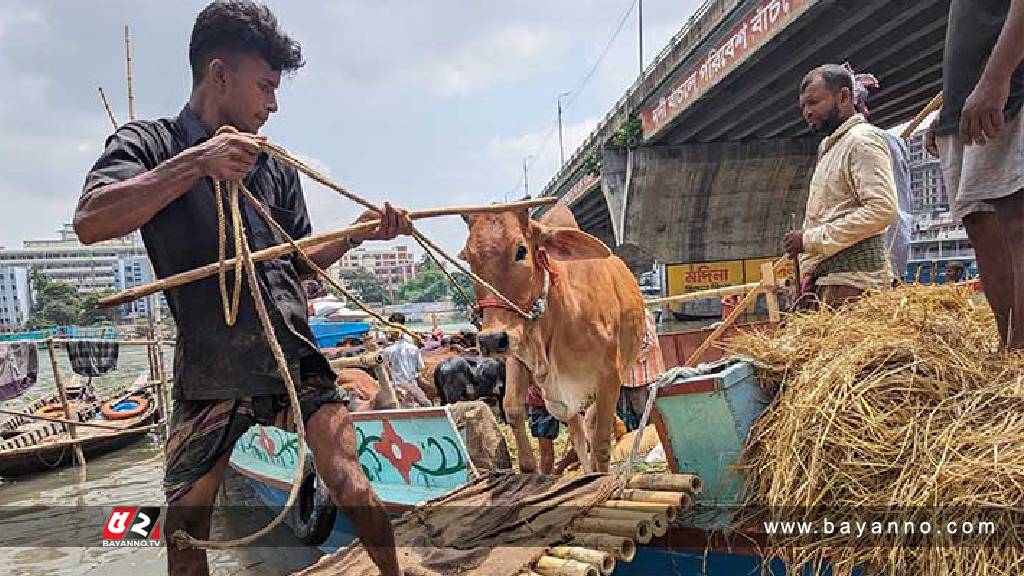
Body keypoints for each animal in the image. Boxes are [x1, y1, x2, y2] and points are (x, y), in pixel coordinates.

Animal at [462, 206, 643, 471]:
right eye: (467, 257)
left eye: (521, 250)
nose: (491, 340)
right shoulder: (518, 357)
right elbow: (513, 410)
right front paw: (529, 467)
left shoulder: (610, 375)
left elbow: (600, 443)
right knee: (578, 434)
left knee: (590, 427)